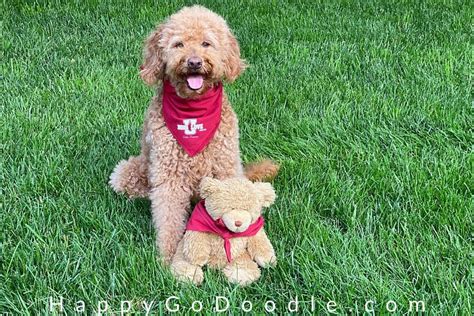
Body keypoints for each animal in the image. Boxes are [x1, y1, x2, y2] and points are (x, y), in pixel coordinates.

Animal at [109, 6, 280, 262]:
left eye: (206, 43)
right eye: (178, 44)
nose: (194, 62)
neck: (193, 109)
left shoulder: (225, 165)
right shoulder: (168, 174)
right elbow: (168, 217)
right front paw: (169, 257)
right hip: (127, 172)